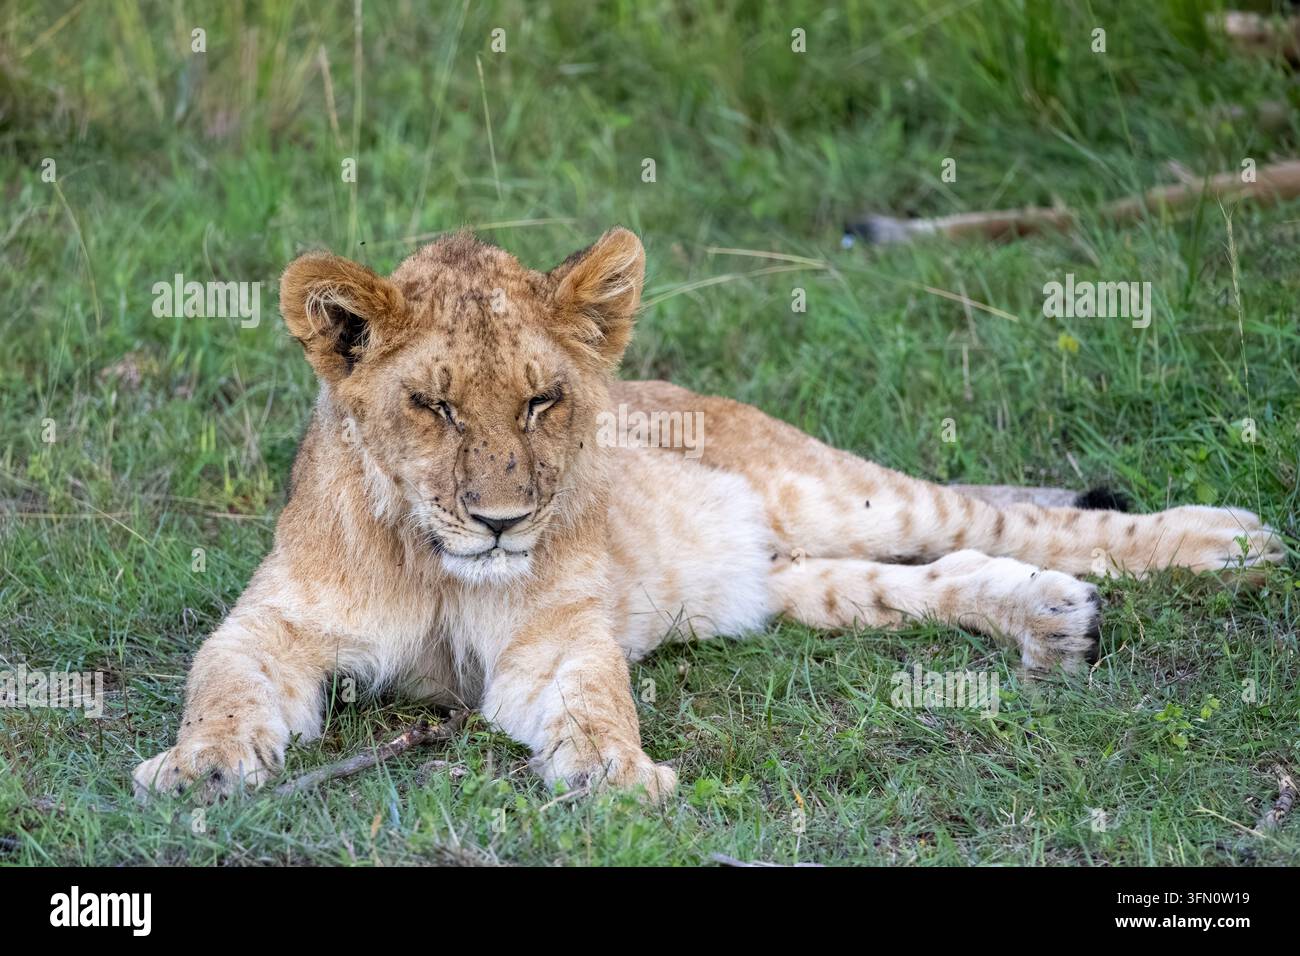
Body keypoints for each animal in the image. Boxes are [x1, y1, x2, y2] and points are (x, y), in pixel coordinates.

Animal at [133, 227, 1284, 803]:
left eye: (543, 400)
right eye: (435, 405)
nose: (502, 522)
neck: (435, 566)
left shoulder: (556, 639)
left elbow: (597, 697)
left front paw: (613, 773)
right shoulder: (270, 624)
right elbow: (219, 686)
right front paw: (199, 766)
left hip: (827, 488)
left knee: (1004, 521)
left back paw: (1226, 540)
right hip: (779, 579)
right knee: (935, 574)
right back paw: (1053, 621)